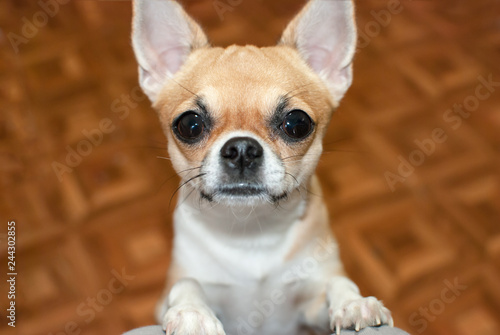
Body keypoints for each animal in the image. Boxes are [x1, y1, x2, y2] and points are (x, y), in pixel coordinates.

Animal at [132, 0, 390, 335]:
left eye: (297, 123)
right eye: (189, 125)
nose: (241, 149)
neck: (250, 232)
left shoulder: (310, 309)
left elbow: (338, 282)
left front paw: (353, 303)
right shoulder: (170, 295)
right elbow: (186, 284)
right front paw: (192, 312)